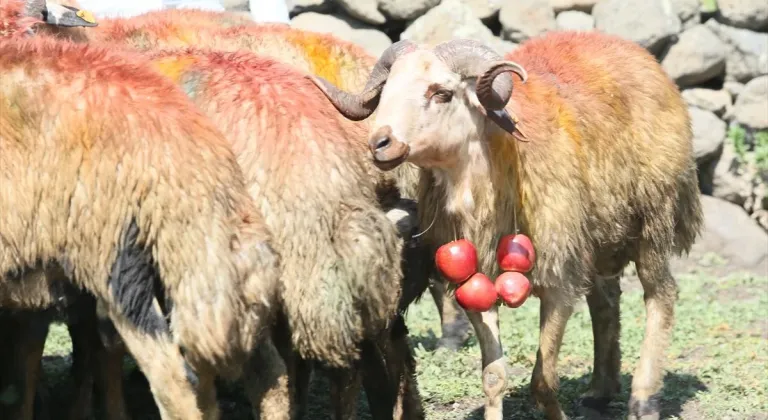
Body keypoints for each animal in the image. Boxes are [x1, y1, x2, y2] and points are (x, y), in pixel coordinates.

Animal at [308, 33, 704, 420]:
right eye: (386, 92)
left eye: (441, 93)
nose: (380, 143)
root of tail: (638, 53)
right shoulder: (475, 279)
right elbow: (493, 376)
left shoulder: (559, 279)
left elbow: (542, 381)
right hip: (598, 236)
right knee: (605, 302)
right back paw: (599, 392)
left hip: (655, 218)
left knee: (661, 295)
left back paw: (644, 400)